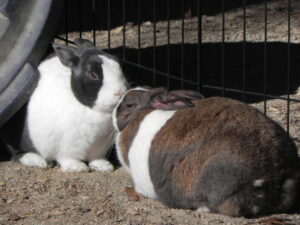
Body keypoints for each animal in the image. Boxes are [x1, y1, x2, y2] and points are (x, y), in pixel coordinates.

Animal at [16, 38, 127, 172]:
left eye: (118, 64)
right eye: (93, 75)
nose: (120, 92)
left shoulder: (98, 148)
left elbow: (96, 158)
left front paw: (104, 167)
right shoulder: (66, 148)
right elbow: (67, 158)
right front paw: (77, 167)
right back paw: (38, 161)